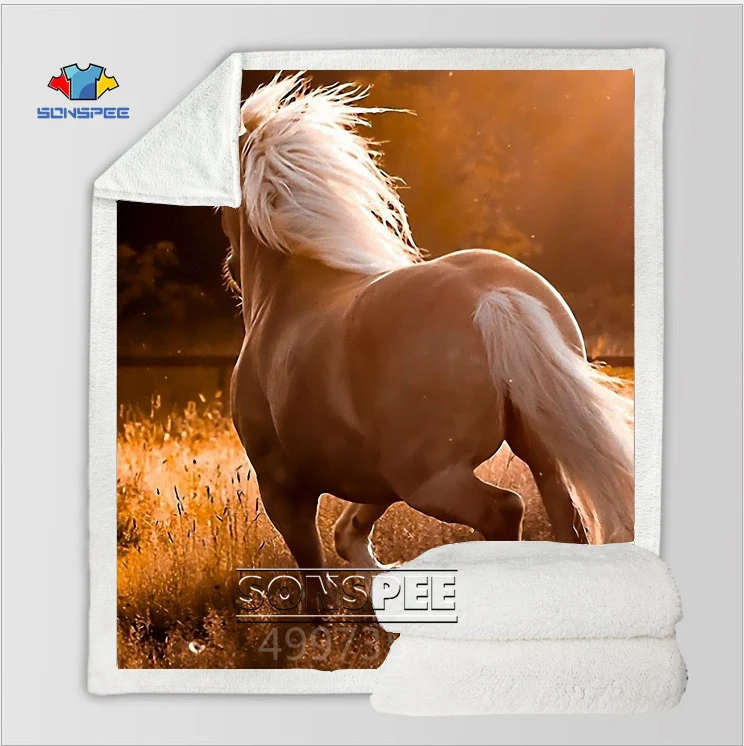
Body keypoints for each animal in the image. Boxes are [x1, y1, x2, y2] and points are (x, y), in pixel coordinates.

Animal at [220, 73, 634, 569]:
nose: (229, 269)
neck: (287, 289)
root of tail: (492, 298)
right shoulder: (377, 477)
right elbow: (348, 534)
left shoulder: (284, 491)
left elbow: (315, 577)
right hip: (536, 454)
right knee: (566, 522)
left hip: (432, 481)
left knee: (504, 510)